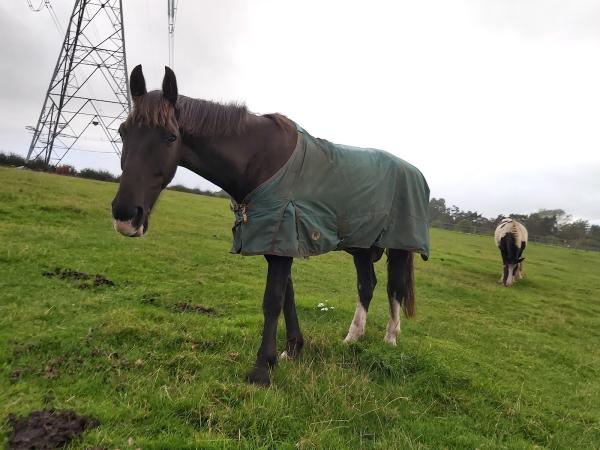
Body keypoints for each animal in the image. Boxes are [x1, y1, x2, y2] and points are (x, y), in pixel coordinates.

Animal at [111, 65, 432, 384]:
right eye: (122, 132)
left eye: (169, 137)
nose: (125, 216)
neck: (258, 160)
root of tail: (414, 171)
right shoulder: (277, 240)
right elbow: (288, 296)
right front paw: (292, 350)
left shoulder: (282, 237)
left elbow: (273, 300)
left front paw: (262, 368)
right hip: (361, 246)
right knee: (367, 285)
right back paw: (352, 338)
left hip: (399, 244)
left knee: (395, 288)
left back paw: (390, 339)